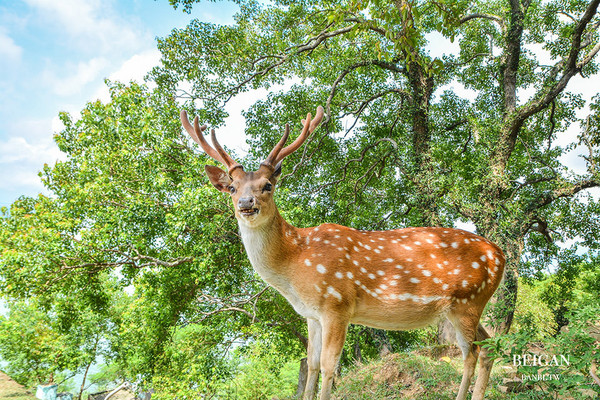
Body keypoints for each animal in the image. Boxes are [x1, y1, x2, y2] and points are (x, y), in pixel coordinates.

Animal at [179, 106, 506, 400]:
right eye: (232, 188)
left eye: (267, 185)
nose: (247, 203)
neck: (294, 264)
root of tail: (500, 256)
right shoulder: (311, 314)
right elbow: (311, 365)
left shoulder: (337, 303)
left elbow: (329, 366)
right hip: (467, 306)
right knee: (489, 347)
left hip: (467, 300)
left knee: (470, 353)